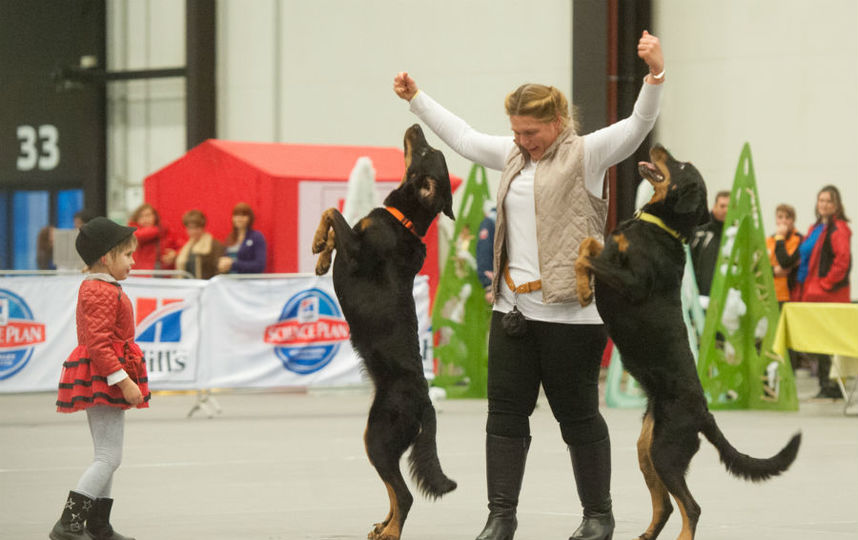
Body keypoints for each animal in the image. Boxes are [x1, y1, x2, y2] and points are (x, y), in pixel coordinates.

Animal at [310, 124, 458, 536]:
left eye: (425, 152)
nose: (416, 126)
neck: (402, 219)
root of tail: (425, 402)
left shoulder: (358, 252)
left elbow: (334, 213)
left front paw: (318, 242)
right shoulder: (353, 241)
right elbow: (335, 221)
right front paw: (321, 254)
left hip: (378, 435)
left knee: (404, 494)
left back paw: (392, 531)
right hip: (380, 440)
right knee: (396, 491)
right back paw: (383, 526)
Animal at [572, 144, 800, 540]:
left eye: (680, 166)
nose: (656, 146)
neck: (659, 226)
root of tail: (704, 413)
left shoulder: (632, 282)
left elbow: (589, 254)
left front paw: (583, 283)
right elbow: (592, 244)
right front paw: (584, 286)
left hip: (665, 451)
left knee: (691, 507)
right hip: (646, 448)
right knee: (665, 505)